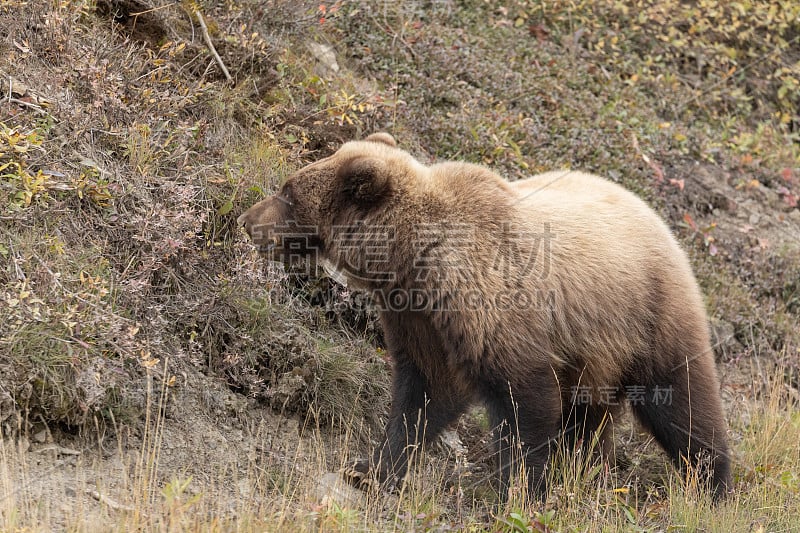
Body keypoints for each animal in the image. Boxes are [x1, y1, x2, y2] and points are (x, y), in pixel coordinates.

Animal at [236, 132, 732, 498]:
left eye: (287, 192)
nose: (246, 218)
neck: (414, 260)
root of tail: (658, 217)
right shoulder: (421, 318)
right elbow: (424, 395)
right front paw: (370, 468)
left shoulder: (494, 309)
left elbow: (524, 402)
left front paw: (518, 493)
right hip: (593, 352)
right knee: (588, 416)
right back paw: (581, 470)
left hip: (649, 315)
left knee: (684, 403)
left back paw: (713, 487)